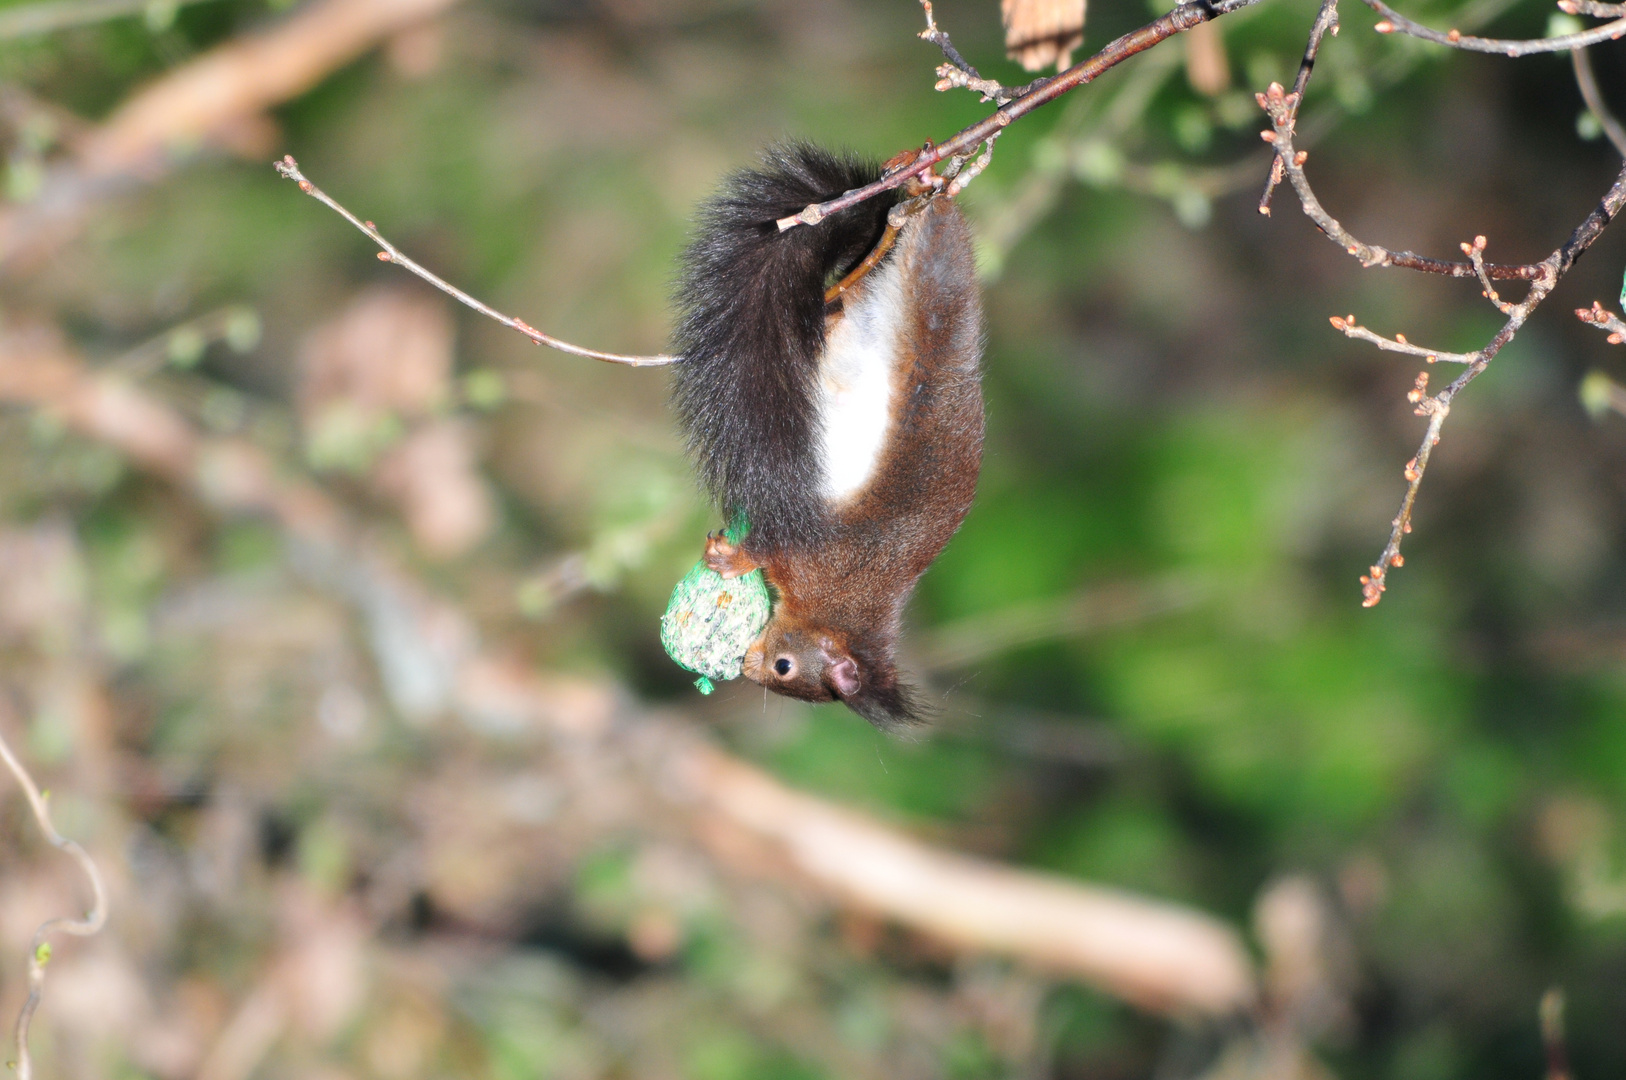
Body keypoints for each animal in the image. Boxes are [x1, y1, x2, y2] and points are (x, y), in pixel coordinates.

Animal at [669, 145, 982, 735]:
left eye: (783, 670)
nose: (747, 667)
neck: (839, 609)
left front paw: (732, 561)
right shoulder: (813, 557)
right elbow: (769, 548)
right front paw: (733, 559)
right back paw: (920, 183)